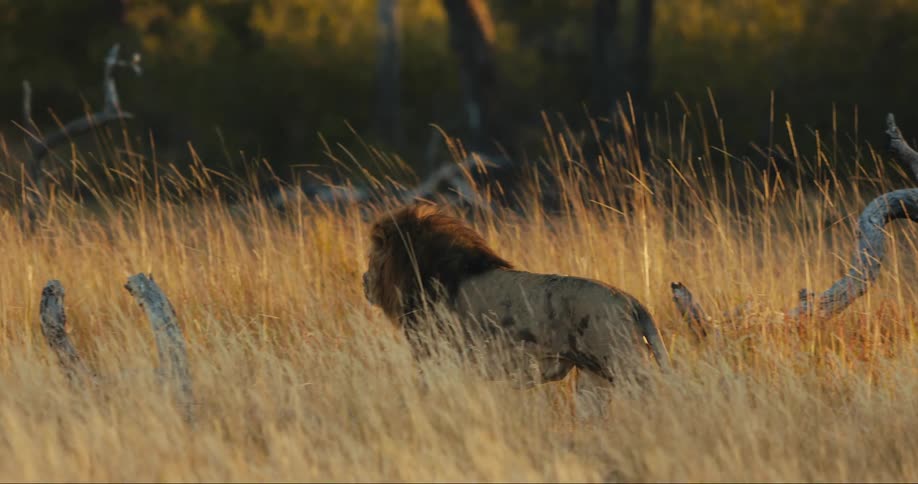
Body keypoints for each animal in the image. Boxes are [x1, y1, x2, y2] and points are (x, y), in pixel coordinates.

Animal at [362, 203, 670, 386]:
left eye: (371, 257)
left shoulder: (435, 358)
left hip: (624, 366)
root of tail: (631, 301)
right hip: (595, 380)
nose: (364, 281)